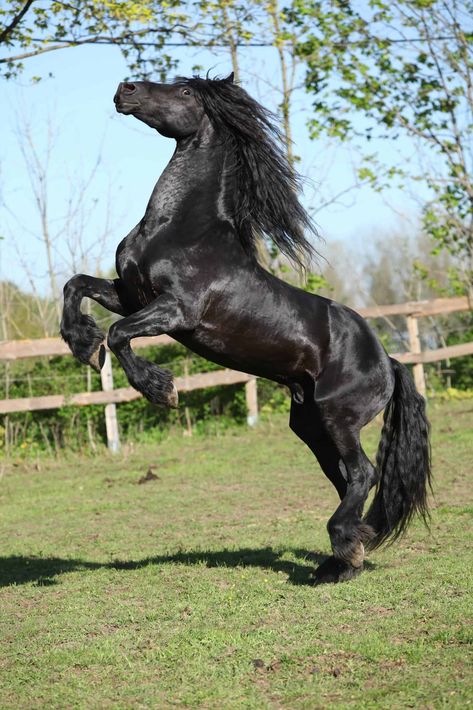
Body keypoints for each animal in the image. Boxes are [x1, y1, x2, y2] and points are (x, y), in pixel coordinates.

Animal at [60, 73, 432, 584]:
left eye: (185, 92)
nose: (126, 88)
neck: (180, 228)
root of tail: (389, 361)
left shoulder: (175, 311)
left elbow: (119, 335)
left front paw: (161, 389)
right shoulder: (130, 294)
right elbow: (75, 285)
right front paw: (82, 343)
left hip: (339, 417)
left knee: (362, 473)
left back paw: (341, 553)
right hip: (311, 425)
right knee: (343, 479)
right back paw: (343, 561)